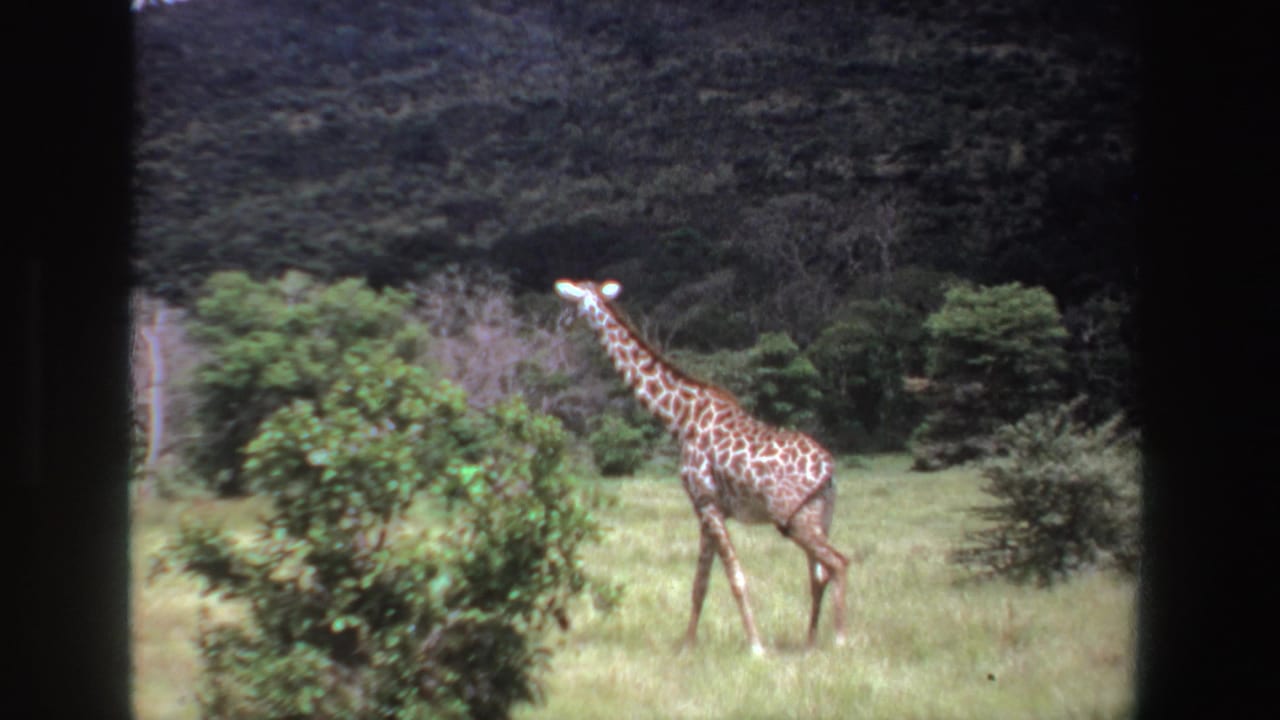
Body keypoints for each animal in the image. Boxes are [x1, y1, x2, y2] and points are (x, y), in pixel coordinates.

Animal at [555, 279, 849, 654]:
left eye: (569, 303)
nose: (559, 324)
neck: (679, 418)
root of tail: (830, 470)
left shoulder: (706, 501)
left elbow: (735, 578)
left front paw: (756, 648)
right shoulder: (705, 508)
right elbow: (700, 583)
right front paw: (687, 646)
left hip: (797, 521)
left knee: (837, 563)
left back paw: (840, 639)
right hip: (818, 516)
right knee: (818, 573)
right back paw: (810, 643)